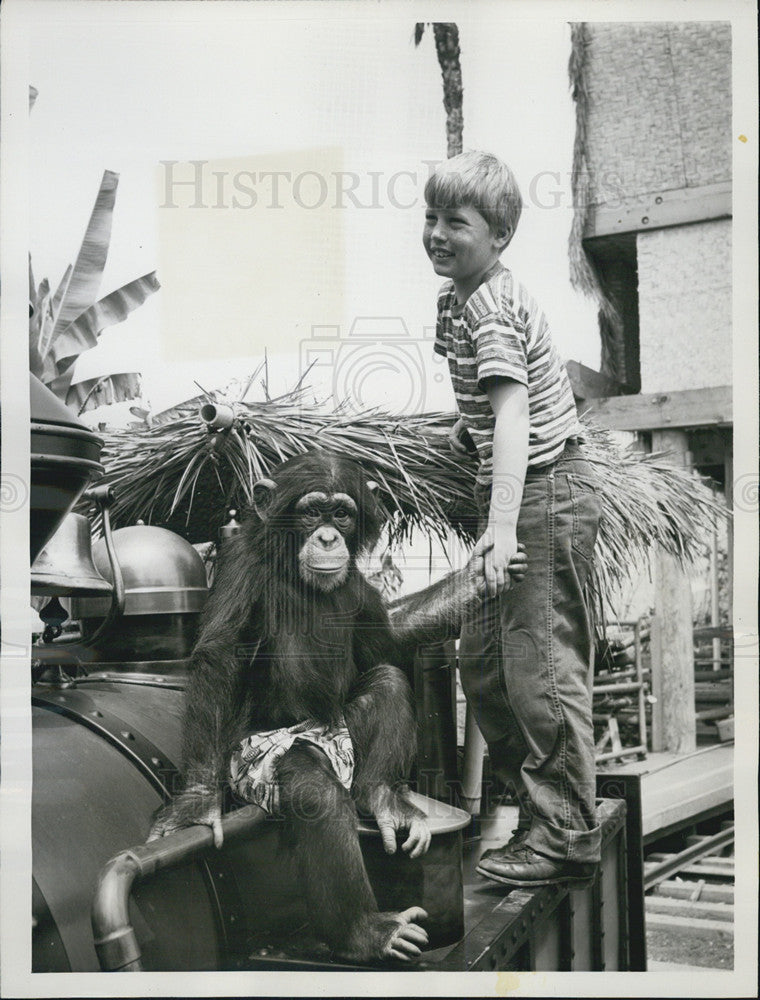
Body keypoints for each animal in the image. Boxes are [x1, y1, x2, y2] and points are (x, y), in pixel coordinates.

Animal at [151, 452, 524, 960]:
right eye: (312, 512)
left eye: (342, 514)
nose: (328, 537)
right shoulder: (239, 567)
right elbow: (220, 657)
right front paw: (195, 801)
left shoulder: (361, 589)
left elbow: (386, 643)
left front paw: (475, 579)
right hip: (261, 762)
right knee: (316, 792)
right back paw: (368, 933)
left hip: (346, 739)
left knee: (387, 683)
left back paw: (383, 799)